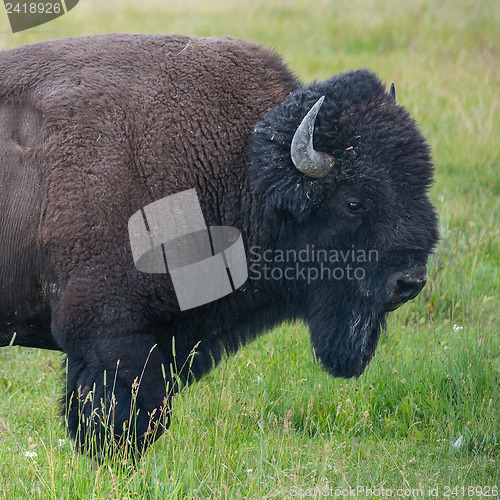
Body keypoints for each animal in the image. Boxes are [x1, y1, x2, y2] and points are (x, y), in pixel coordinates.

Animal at [0, 34, 438, 458]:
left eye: (422, 188)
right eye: (353, 202)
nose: (410, 281)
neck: (236, 167)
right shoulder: (109, 336)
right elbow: (124, 419)